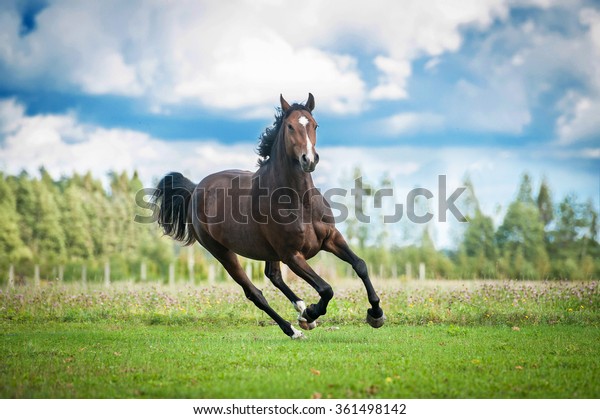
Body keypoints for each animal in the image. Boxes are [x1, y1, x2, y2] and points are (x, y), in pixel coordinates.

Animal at [151, 94, 384, 338]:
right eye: (290, 126)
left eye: (314, 124)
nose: (309, 160)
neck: (301, 201)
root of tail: (195, 188)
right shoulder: (292, 255)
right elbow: (326, 288)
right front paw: (312, 312)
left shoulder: (331, 238)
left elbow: (360, 265)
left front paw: (376, 314)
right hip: (223, 253)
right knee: (255, 293)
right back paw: (294, 328)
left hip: (268, 251)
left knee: (273, 276)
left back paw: (301, 310)